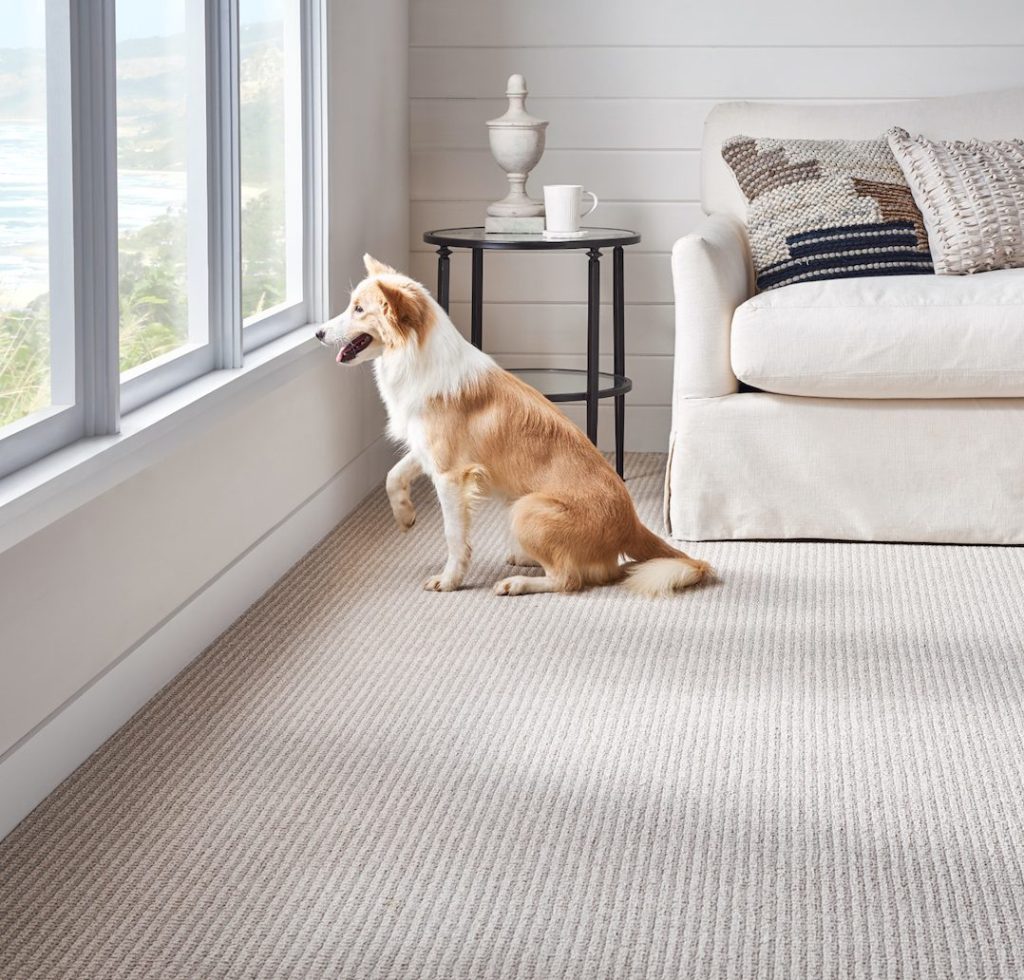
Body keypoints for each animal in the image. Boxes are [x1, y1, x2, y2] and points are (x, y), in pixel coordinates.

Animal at [319, 253, 712, 598]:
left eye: (359, 309)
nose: (319, 333)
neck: (415, 357)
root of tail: (631, 523)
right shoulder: (426, 449)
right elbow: (392, 475)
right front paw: (404, 515)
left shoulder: (451, 475)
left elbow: (453, 536)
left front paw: (449, 580)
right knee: (592, 570)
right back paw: (525, 559)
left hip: (527, 509)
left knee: (570, 579)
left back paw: (519, 583)